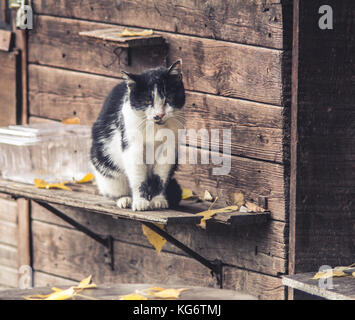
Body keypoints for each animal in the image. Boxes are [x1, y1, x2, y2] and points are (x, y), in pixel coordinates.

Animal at [89, 60, 186, 211]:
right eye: (147, 101)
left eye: (169, 98)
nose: (159, 115)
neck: (155, 128)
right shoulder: (132, 147)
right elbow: (138, 176)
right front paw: (140, 202)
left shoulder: (168, 148)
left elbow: (160, 176)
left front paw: (158, 200)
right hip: (105, 167)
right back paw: (125, 199)